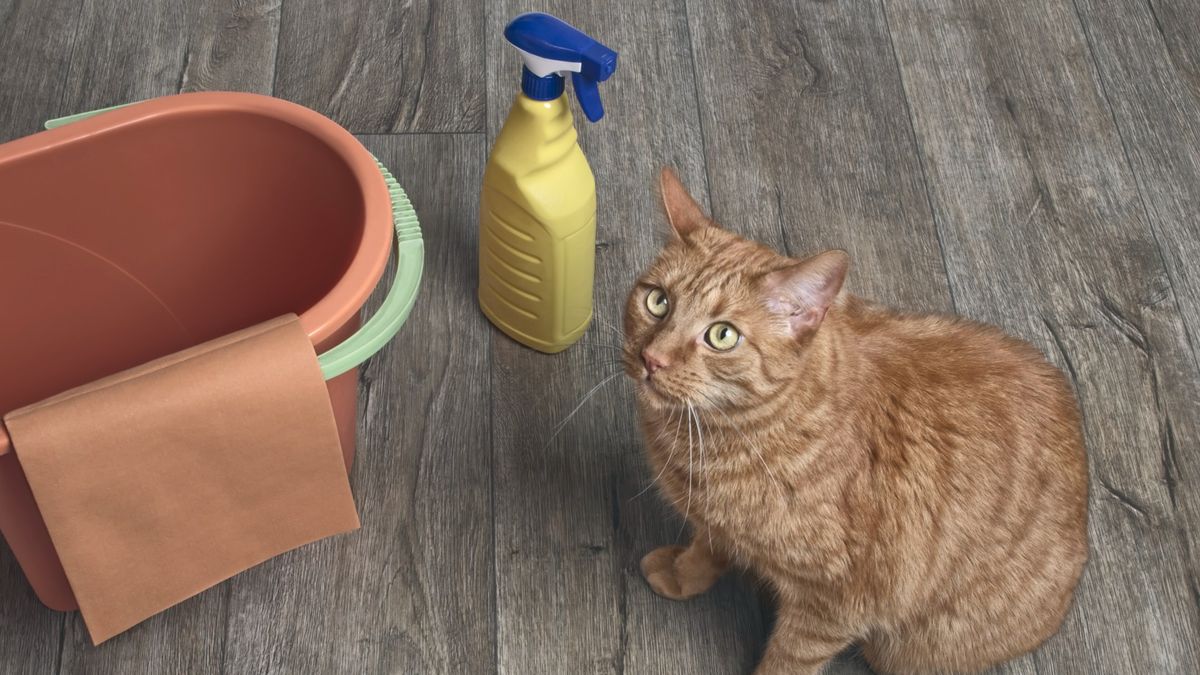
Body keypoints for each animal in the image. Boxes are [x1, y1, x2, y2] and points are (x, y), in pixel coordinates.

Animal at [628, 168, 1089, 672]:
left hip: (908, 650)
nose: (652, 359)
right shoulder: (717, 524)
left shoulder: (832, 607)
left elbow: (787, 661)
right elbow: (707, 549)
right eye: (658, 302)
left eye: (722, 336)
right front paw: (682, 573)